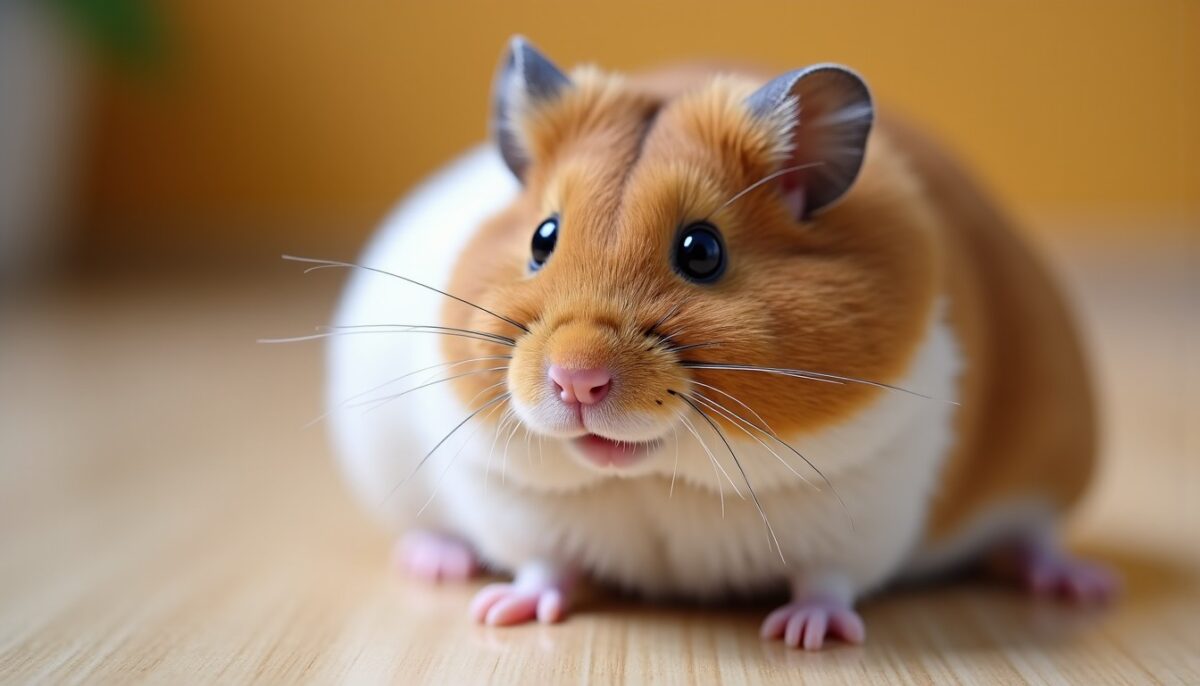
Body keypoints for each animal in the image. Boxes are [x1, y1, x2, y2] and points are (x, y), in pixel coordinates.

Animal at [322, 36, 1116, 650]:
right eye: (542, 239)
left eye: (701, 251)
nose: (576, 381)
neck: (658, 475)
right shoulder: (516, 504)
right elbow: (544, 566)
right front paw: (500, 613)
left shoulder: (866, 509)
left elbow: (829, 581)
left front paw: (802, 635)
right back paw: (438, 564)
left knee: (1034, 533)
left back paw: (1079, 584)